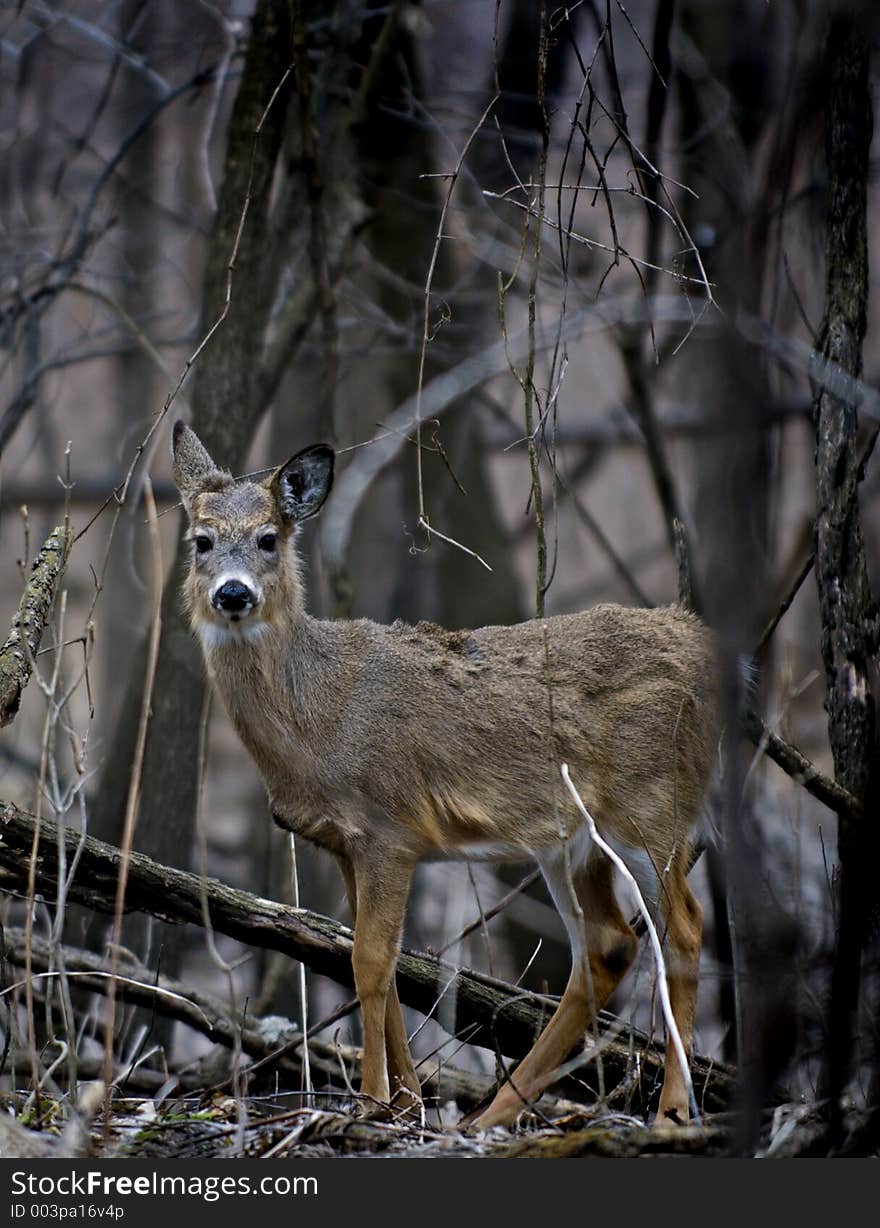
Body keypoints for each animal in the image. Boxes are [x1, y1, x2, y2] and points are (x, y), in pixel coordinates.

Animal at [171, 417, 721, 1124]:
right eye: (201, 541)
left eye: (269, 538)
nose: (233, 593)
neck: (320, 715)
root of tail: (707, 650)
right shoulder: (345, 841)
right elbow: (369, 959)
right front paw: (407, 1105)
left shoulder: (390, 829)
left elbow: (370, 961)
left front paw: (374, 1101)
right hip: (572, 840)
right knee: (607, 946)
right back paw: (493, 1114)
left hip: (651, 805)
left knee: (683, 929)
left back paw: (672, 1107)